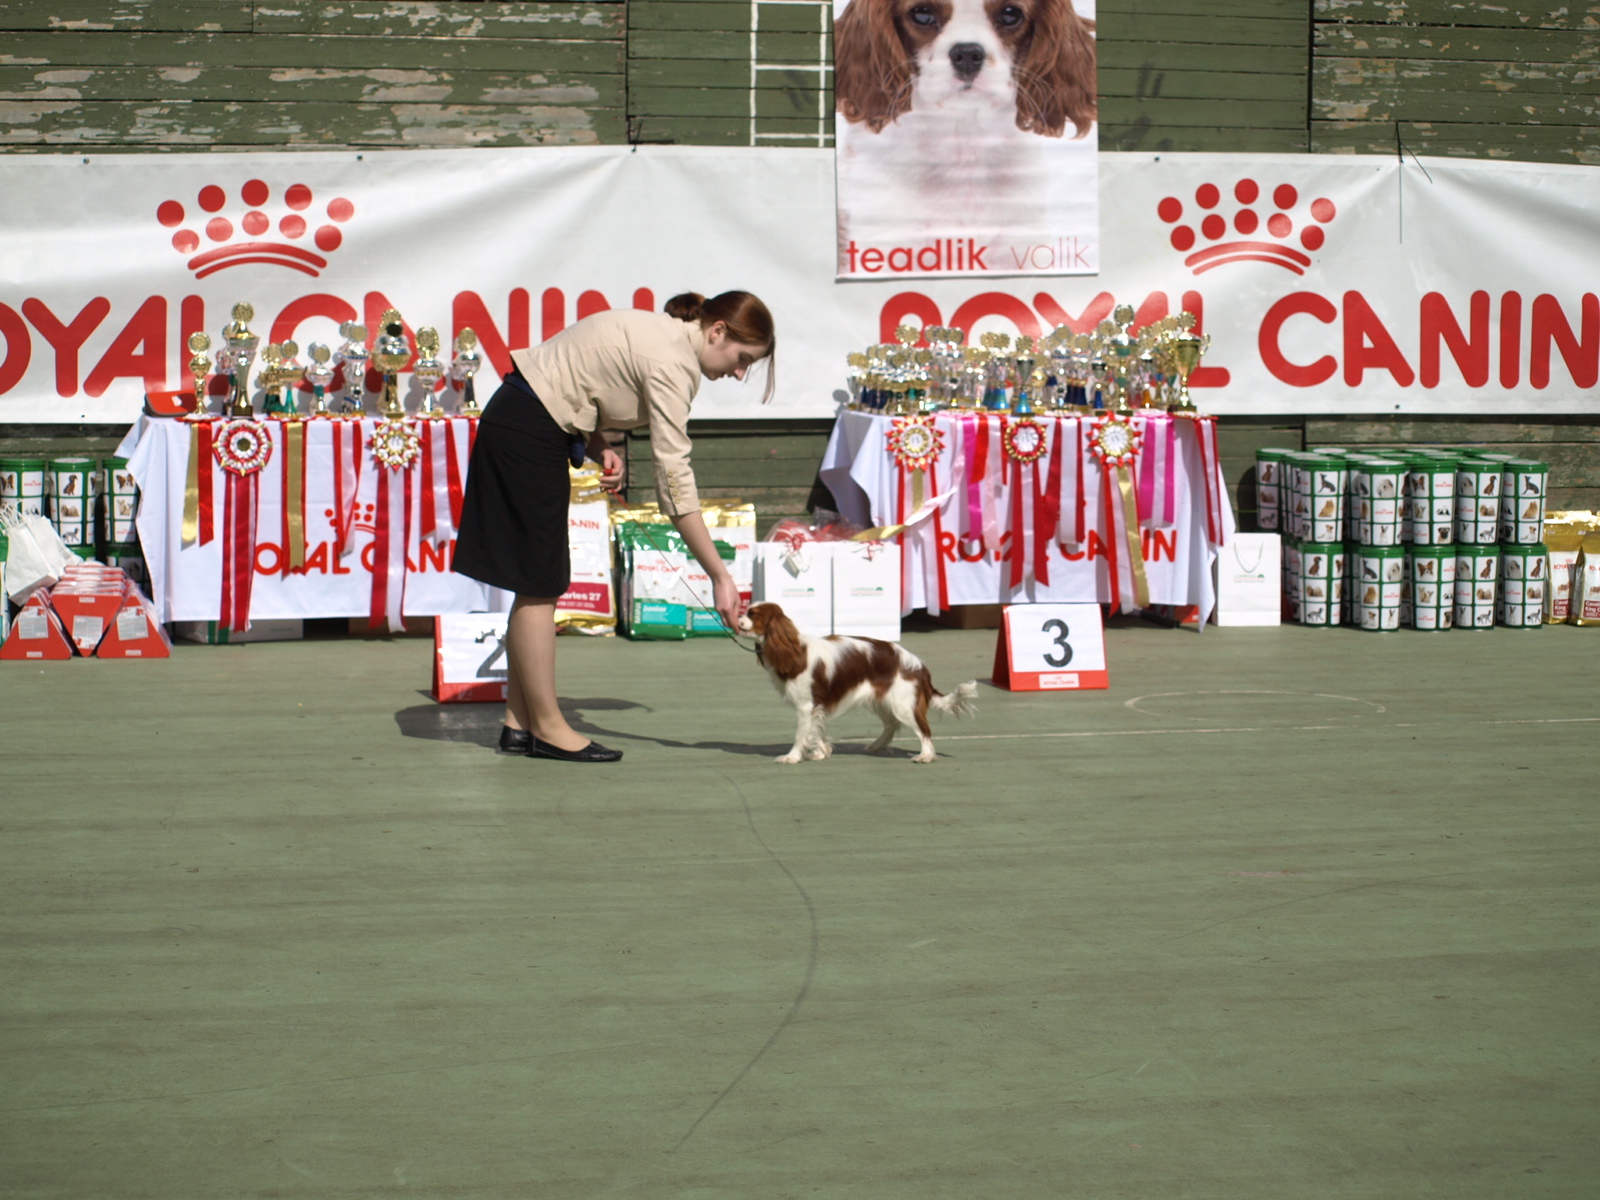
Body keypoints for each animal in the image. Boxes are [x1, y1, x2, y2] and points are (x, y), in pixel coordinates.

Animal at [739, 602, 978, 763]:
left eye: (752, 614)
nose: (737, 618)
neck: (795, 651)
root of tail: (920, 666)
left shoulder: (806, 705)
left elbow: (801, 733)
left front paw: (792, 757)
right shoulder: (817, 705)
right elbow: (816, 730)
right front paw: (822, 752)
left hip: (903, 704)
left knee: (923, 730)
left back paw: (925, 756)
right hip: (883, 701)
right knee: (891, 724)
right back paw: (876, 745)